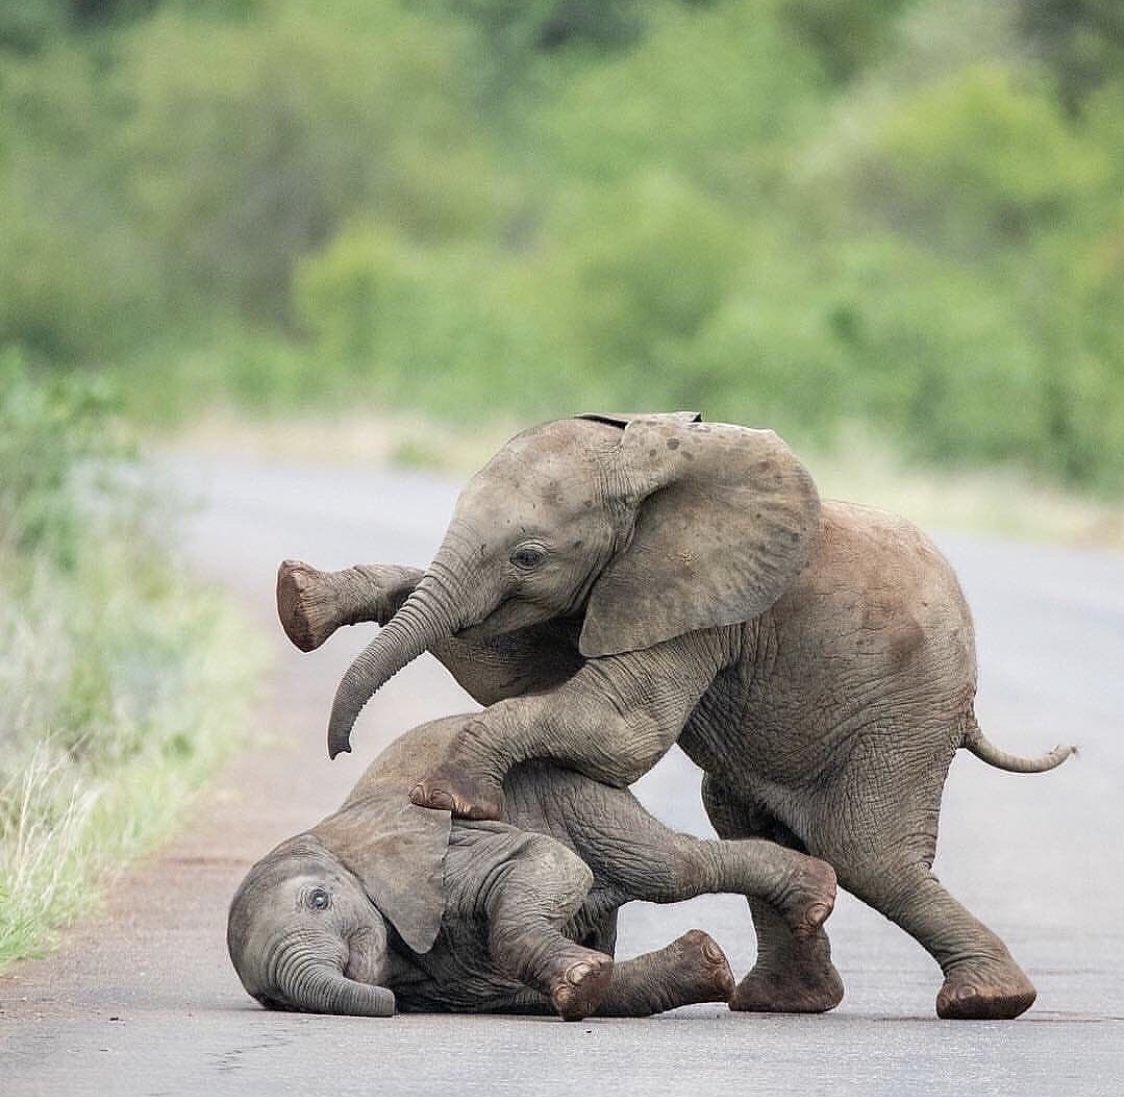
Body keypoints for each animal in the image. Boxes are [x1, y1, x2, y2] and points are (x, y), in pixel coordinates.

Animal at [227, 713, 837, 1019]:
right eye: (272, 998)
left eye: (319, 900)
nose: (391, 1009)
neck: (332, 840)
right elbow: (527, 991)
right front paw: (591, 980)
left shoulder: (450, 848)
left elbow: (548, 861)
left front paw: (584, 977)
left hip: (573, 793)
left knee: (671, 867)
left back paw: (815, 893)